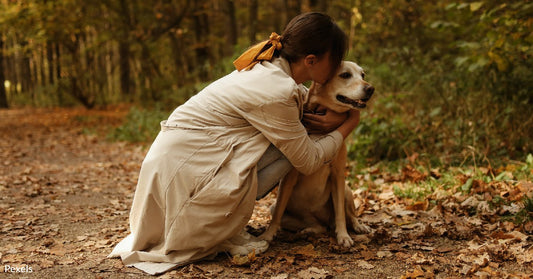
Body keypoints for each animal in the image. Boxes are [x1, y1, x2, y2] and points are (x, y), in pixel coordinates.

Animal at [260, 60, 372, 247]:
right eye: (345, 75)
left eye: (362, 74)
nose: (371, 89)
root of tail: (325, 221)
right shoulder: (288, 178)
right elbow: (277, 214)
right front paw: (267, 235)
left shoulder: (338, 175)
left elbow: (341, 214)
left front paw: (343, 236)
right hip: (278, 209)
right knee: (318, 226)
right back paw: (308, 231)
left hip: (346, 191)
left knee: (349, 216)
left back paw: (358, 226)